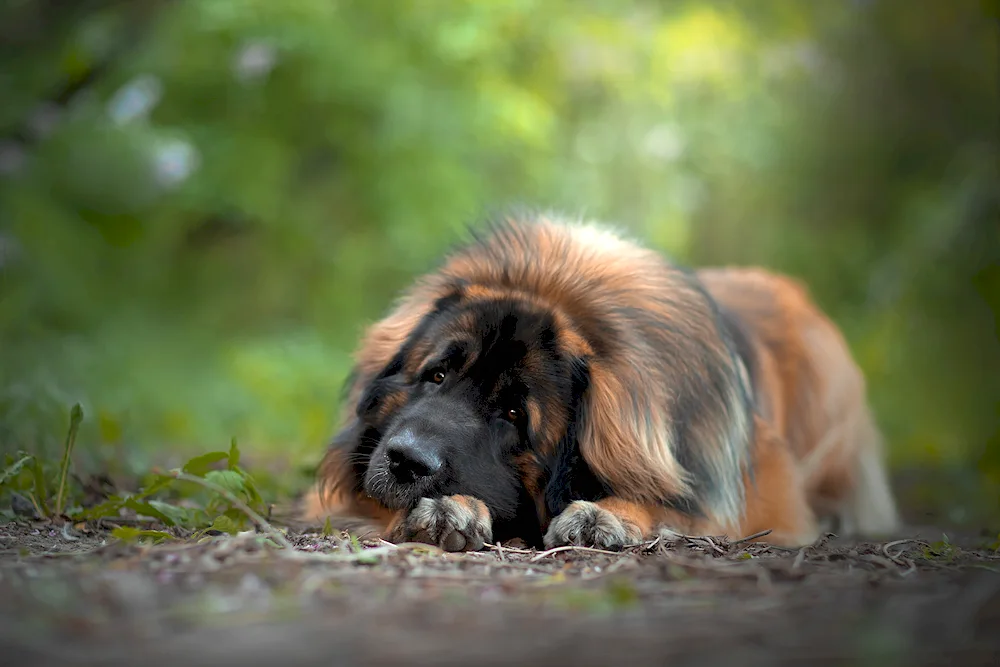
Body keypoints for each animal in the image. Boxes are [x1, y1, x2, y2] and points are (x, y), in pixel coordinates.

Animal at [300, 214, 904, 552]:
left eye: (514, 415)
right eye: (437, 375)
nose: (405, 461)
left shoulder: (761, 493)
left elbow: (682, 504)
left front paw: (607, 512)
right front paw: (451, 508)